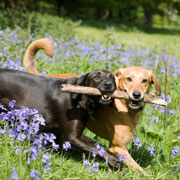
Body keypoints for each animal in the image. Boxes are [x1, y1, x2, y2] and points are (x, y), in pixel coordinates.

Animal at [23, 38, 160, 174]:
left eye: (145, 81)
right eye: (129, 79)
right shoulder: (118, 148)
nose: (137, 94)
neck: (126, 109)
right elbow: (141, 170)